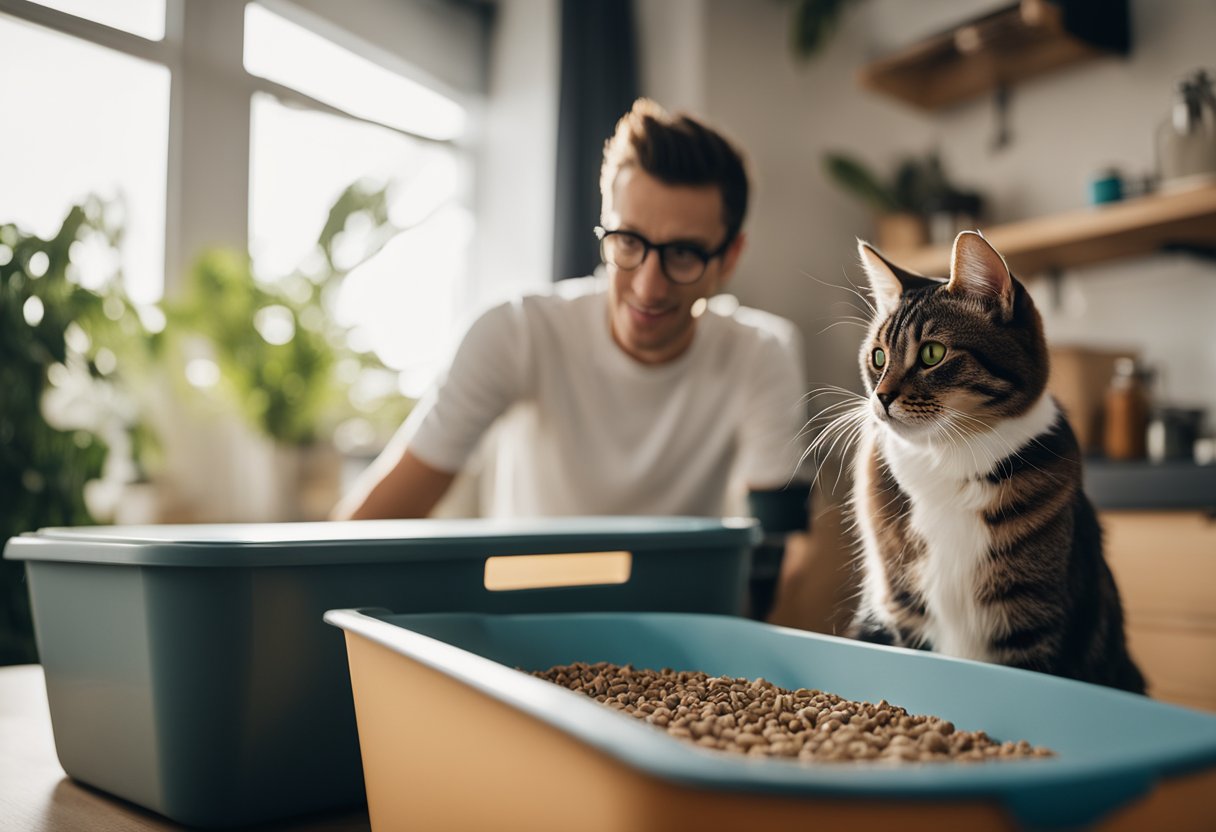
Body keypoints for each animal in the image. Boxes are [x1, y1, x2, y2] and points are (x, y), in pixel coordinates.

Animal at [841, 231, 1143, 690]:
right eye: (878, 357)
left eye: (932, 354)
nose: (881, 397)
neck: (947, 457)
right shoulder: (905, 609)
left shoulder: (1032, 621)